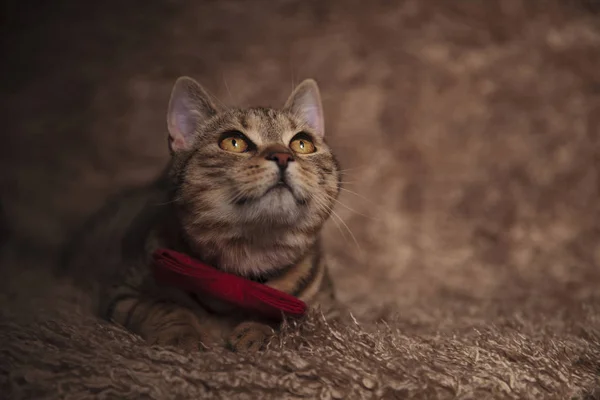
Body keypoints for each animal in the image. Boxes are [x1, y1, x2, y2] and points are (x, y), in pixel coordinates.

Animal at [62, 76, 342, 352]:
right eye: (234, 142)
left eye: (302, 143)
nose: (283, 156)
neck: (249, 254)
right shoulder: (122, 292)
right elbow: (162, 307)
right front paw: (181, 333)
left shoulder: (328, 317)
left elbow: (289, 319)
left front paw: (259, 331)